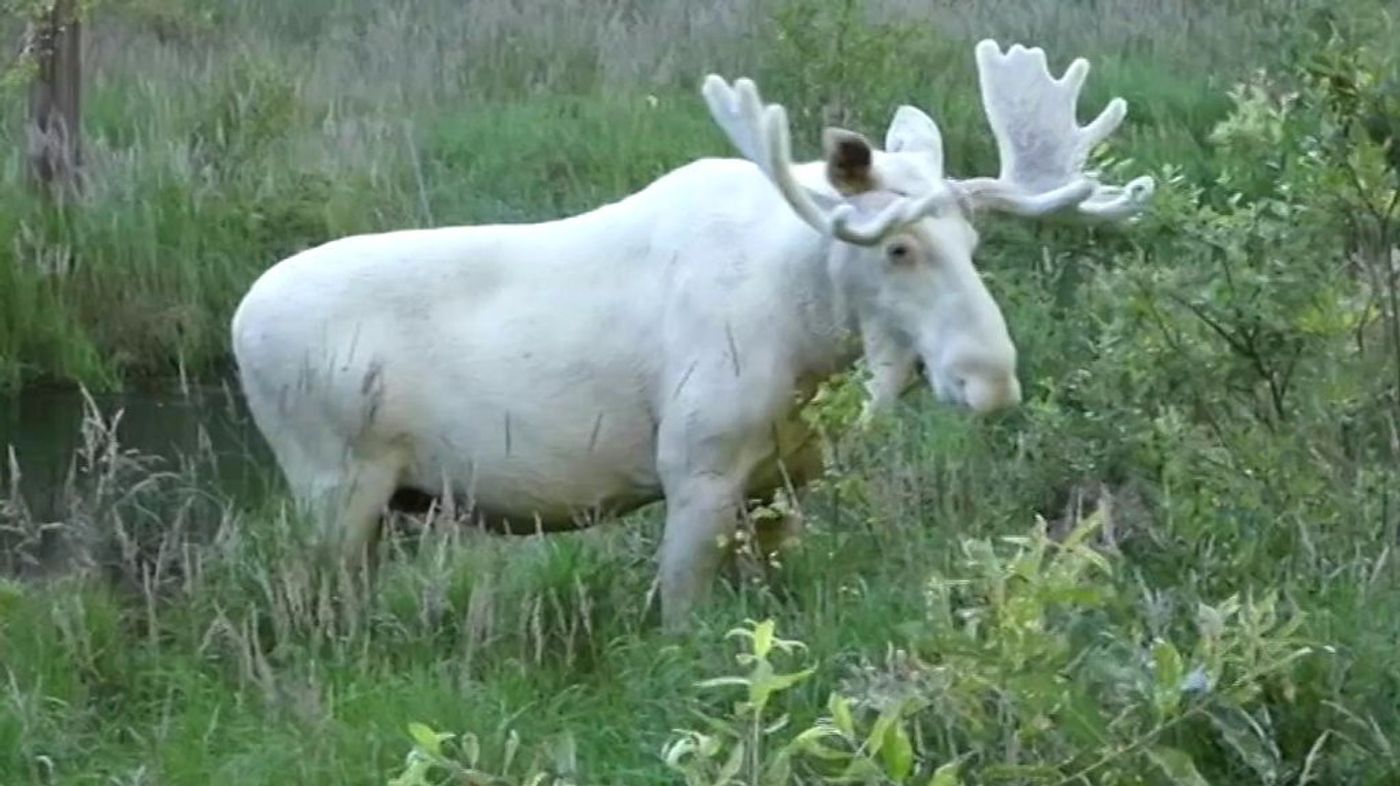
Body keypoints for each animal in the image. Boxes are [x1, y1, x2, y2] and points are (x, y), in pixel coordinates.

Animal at [229, 41, 1153, 630]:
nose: (990, 378)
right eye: (897, 246)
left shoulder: (784, 481)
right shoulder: (695, 465)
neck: (811, 343)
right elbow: (680, 620)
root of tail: (239, 321)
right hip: (332, 484)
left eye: (973, 242)